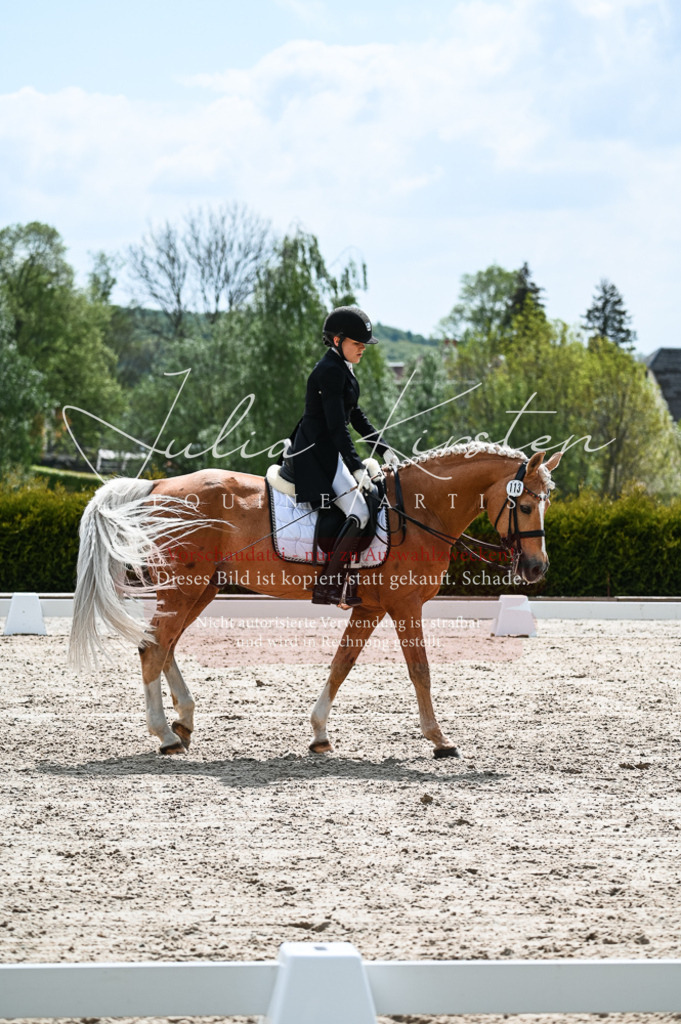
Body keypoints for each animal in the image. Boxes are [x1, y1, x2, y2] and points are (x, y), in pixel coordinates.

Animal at [69, 443, 561, 758]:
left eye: (546, 504)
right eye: (523, 505)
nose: (537, 568)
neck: (421, 512)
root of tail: (155, 487)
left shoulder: (369, 607)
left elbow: (341, 664)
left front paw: (320, 734)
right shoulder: (405, 606)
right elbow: (420, 671)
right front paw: (439, 740)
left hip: (200, 588)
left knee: (161, 644)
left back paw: (183, 722)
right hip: (184, 588)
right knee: (153, 647)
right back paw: (165, 736)